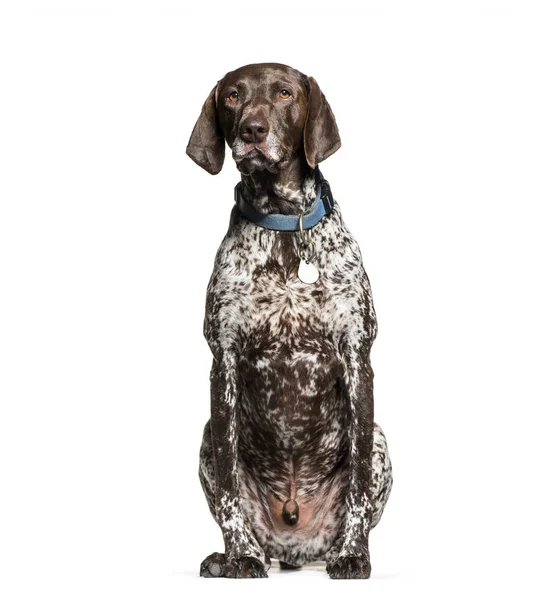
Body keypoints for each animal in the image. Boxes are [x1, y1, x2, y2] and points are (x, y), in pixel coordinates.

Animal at [186, 63, 392, 580]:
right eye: (233, 96)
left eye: (284, 93)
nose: (252, 131)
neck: (283, 229)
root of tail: (294, 548)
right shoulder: (224, 363)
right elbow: (230, 489)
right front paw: (239, 555)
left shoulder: (358, 358)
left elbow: (358, 483)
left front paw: (353, 555)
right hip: (206, 438)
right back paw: (230, 556)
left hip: (381, 439)